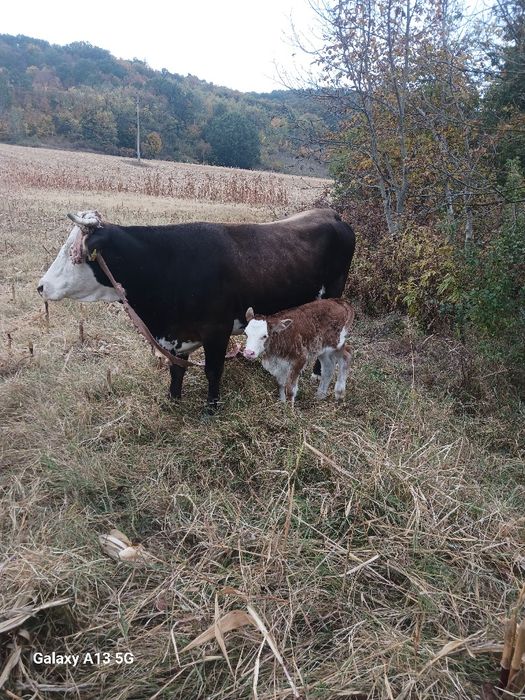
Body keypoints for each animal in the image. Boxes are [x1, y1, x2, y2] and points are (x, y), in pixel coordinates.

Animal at [38, 208, 355, 408]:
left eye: (73, 253)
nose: (41, 286)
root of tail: (331, 214)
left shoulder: (217, 330)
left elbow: (213, 371)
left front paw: (211, 409)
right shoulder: (178, 333)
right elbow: (176, 369)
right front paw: (172, 400)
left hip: (333, 293)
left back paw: (318, 373)